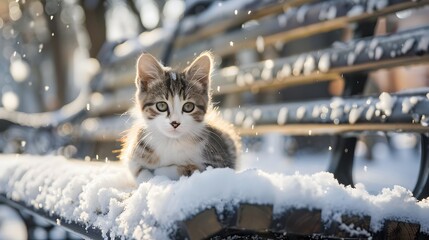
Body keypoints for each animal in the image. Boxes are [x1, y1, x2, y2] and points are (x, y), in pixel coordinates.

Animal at [120, 51, 241, 182]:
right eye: (161, 105)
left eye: (188, 106)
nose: (175, 123)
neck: (171, 142)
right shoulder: (134, 152)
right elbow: (139, 171)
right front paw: (149, 177)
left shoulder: (219, 162)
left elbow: (185, 168)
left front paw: (161, 172)